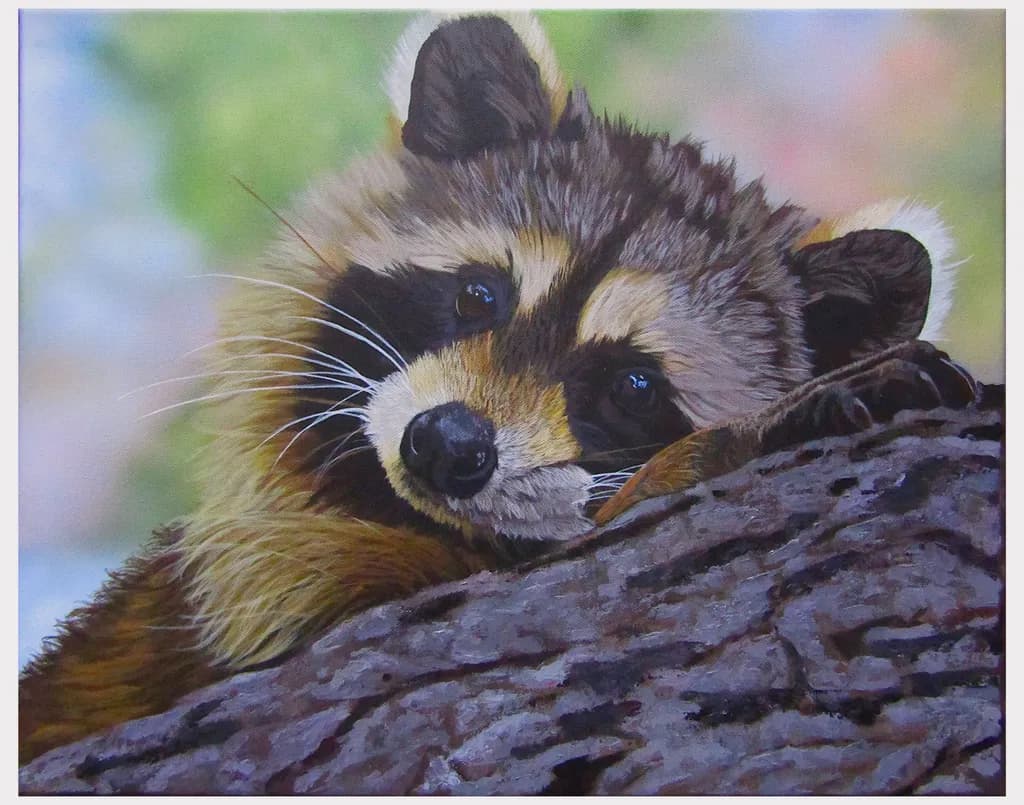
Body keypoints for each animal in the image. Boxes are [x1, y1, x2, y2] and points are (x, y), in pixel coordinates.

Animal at [20, 12, 978, 763]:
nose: (448, 446)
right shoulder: (260, 587)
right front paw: (733, 442)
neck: (405, 508)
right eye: (480, 295)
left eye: (632, 384)